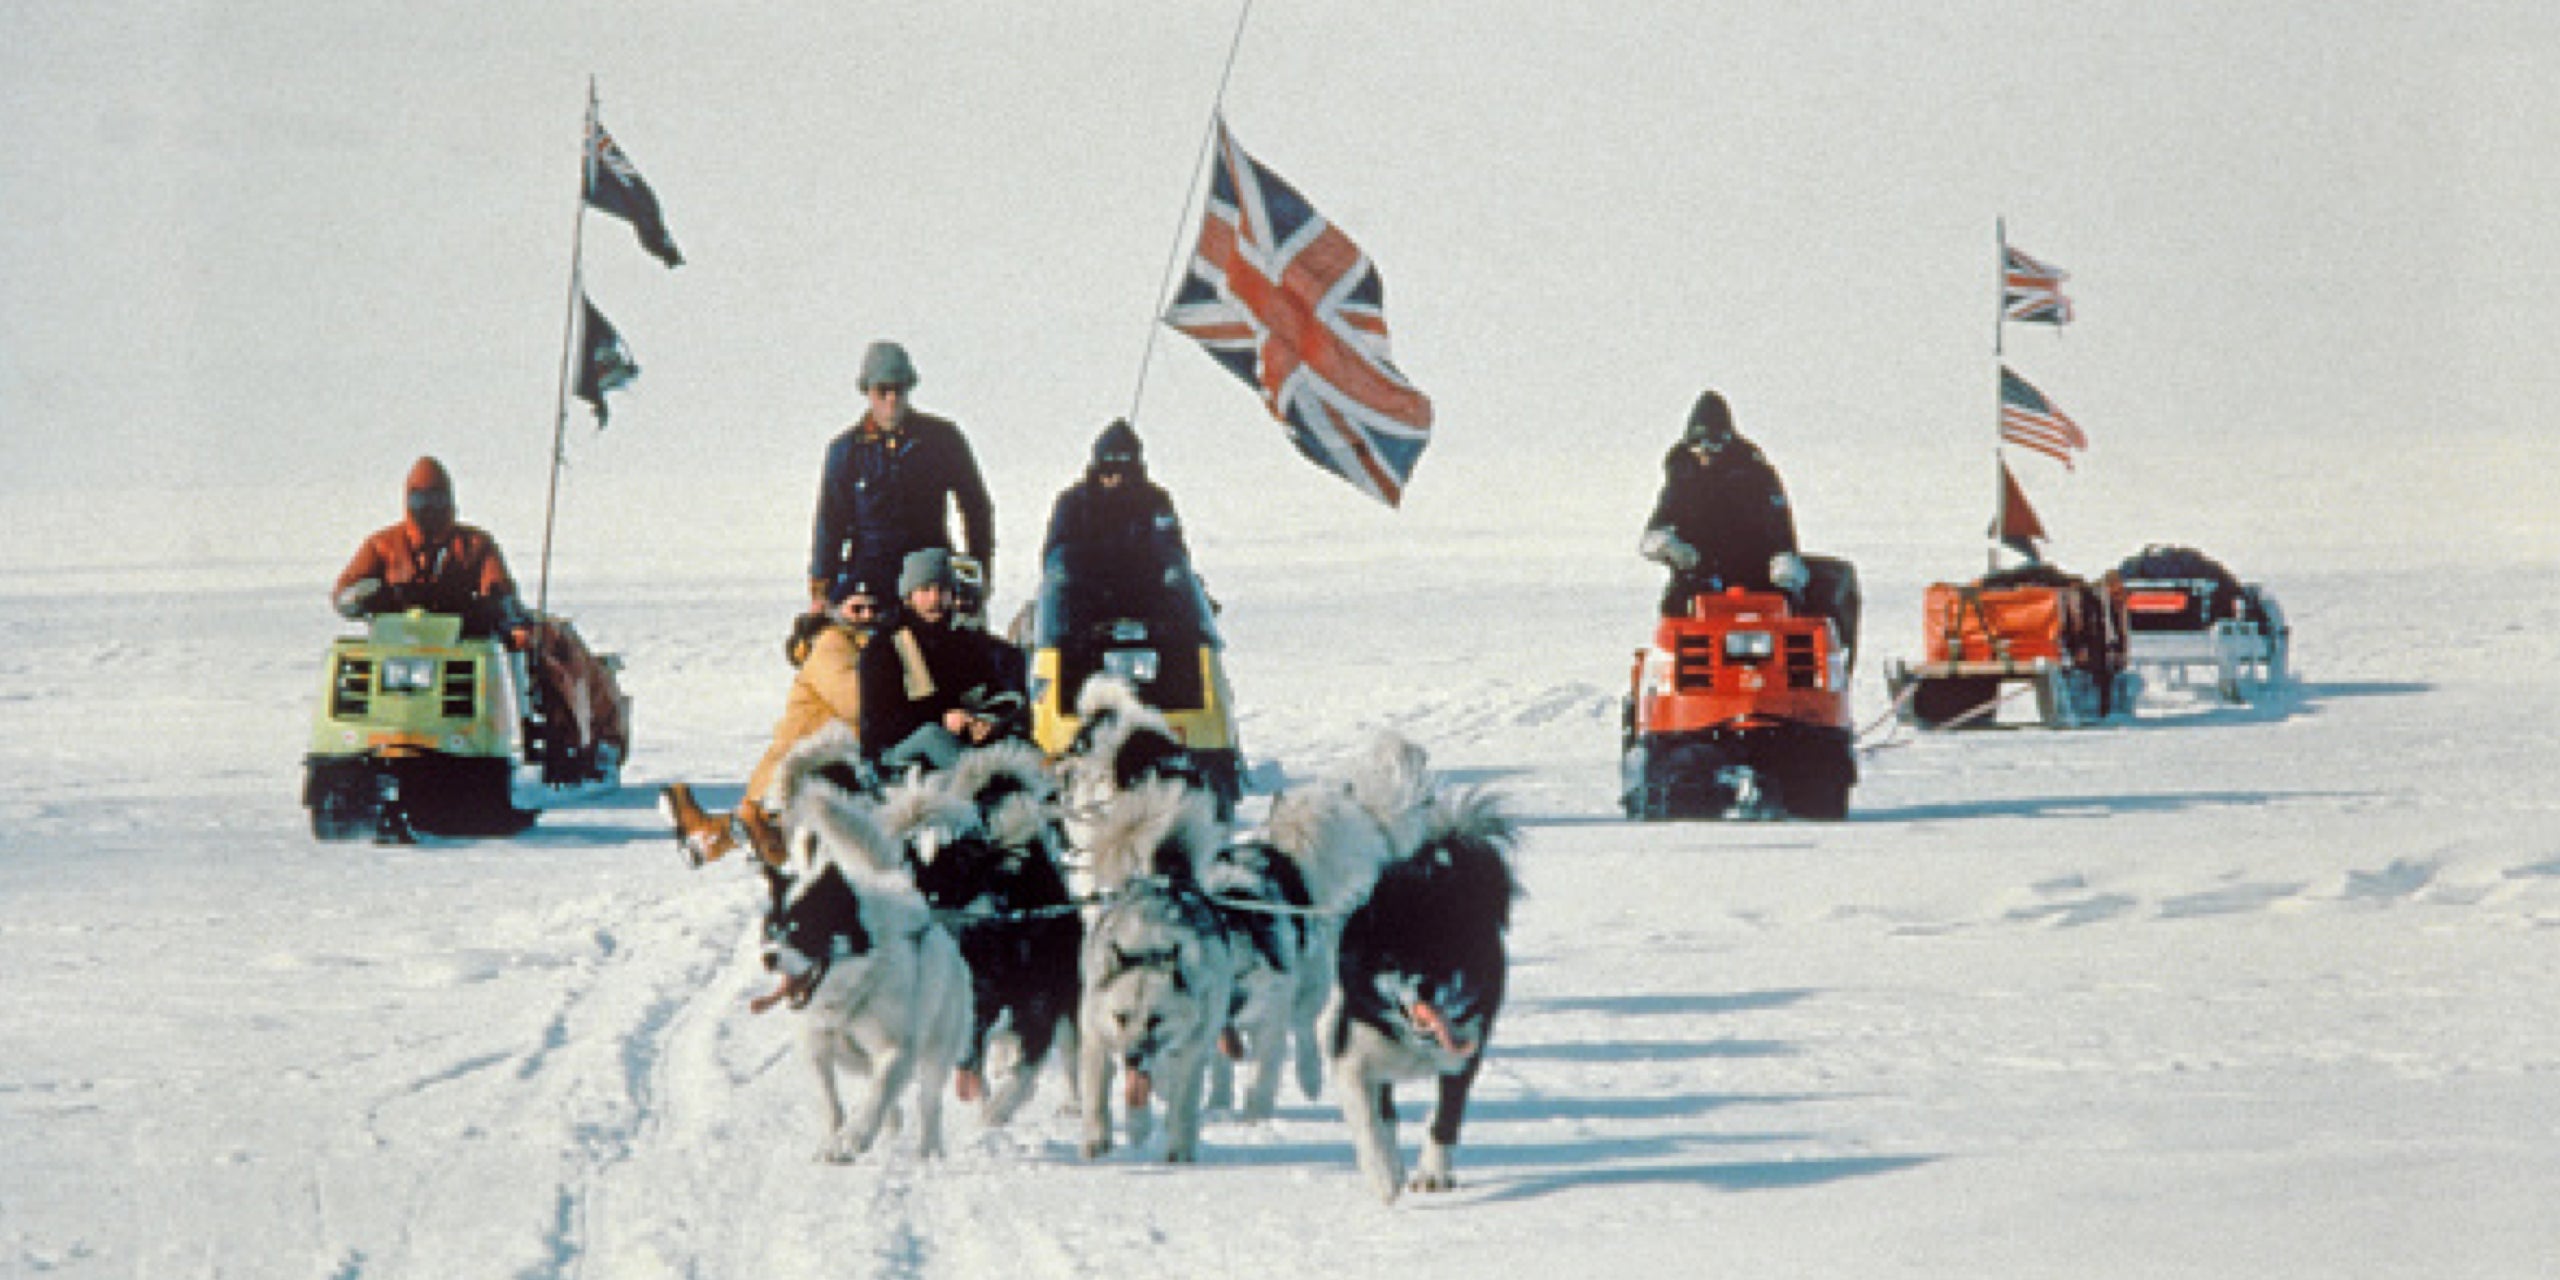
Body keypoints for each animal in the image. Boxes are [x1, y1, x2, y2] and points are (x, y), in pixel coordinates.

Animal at [752, 803, 972, 1167]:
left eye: (801, 931)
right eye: (771, 930)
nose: (768, 957)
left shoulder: (897, 1049)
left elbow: (879, 1092)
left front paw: (851, 1139)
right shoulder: (816, 1046)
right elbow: (830, 1100)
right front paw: (833, 1138)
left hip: (937, 1046)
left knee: (928, 1104)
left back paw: (928, 1153)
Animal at [1070, 783, 1239, 1167]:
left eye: (1156, 1019)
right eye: (1120, 1017)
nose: (1132, 1057)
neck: (1149, 944)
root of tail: (1167, 878)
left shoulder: (1191, 1050)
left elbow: (1183, 1105)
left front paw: (1179, 1150)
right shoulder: (1096, 1036)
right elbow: (1096, 1097)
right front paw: (1096, 1142)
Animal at [1331, 773, 1505, 1203]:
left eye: (1446, 956)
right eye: (1393, 959)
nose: (1425, 986)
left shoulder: (1463, 1058)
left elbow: (1446, 1118)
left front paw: (1433, 1174)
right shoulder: (1352, 1058)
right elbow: (1369, 1120)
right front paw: (1384, 1174)